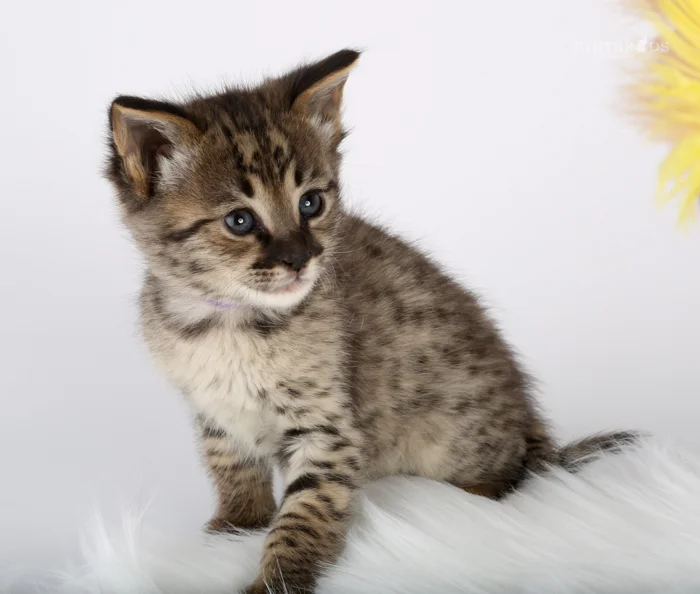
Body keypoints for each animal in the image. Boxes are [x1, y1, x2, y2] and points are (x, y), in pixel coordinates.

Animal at [105, 49, 635, 594]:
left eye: (311, 203)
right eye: (239, 221)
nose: (300, 259)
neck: (229, 320)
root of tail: (533, 427)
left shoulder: (327, 427)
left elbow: (306, 512)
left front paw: (278, 580)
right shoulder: (214, 410)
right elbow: (232, 469)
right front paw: (234, 527)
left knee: (520, 475)